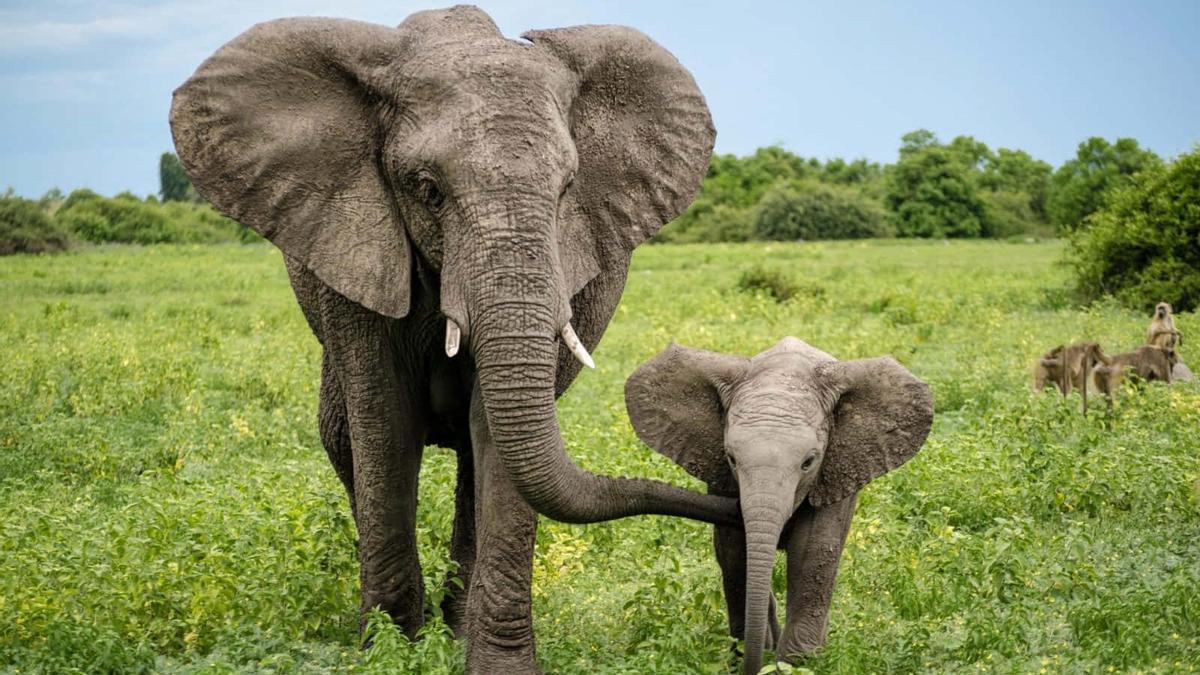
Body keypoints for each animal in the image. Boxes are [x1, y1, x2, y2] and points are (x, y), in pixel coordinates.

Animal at [169, 6, 739, 673]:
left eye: (568, 187)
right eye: (426, 188)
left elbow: (496, 434)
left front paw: (496, 666)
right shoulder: (355, 253)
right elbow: (384, 424)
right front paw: (390, 655)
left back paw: (456, 628)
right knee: (343, 440)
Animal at [625, 337, 933, 675]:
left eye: (808, 462)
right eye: (731, 458)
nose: (755, 666)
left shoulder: (838, 470)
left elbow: (813, 553)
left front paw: (796, 664)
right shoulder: (720, 475)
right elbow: (735, 552)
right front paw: (751, 654)